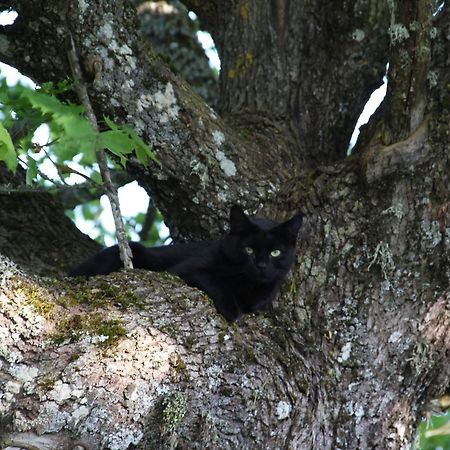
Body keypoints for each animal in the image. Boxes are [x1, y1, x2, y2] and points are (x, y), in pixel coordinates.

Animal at [69, 206, 302, 322]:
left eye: (275, 252)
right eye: (248, 250)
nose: (261, 265)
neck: (247, 285)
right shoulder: (185, 270)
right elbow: (215, 281)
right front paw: (232, 310)